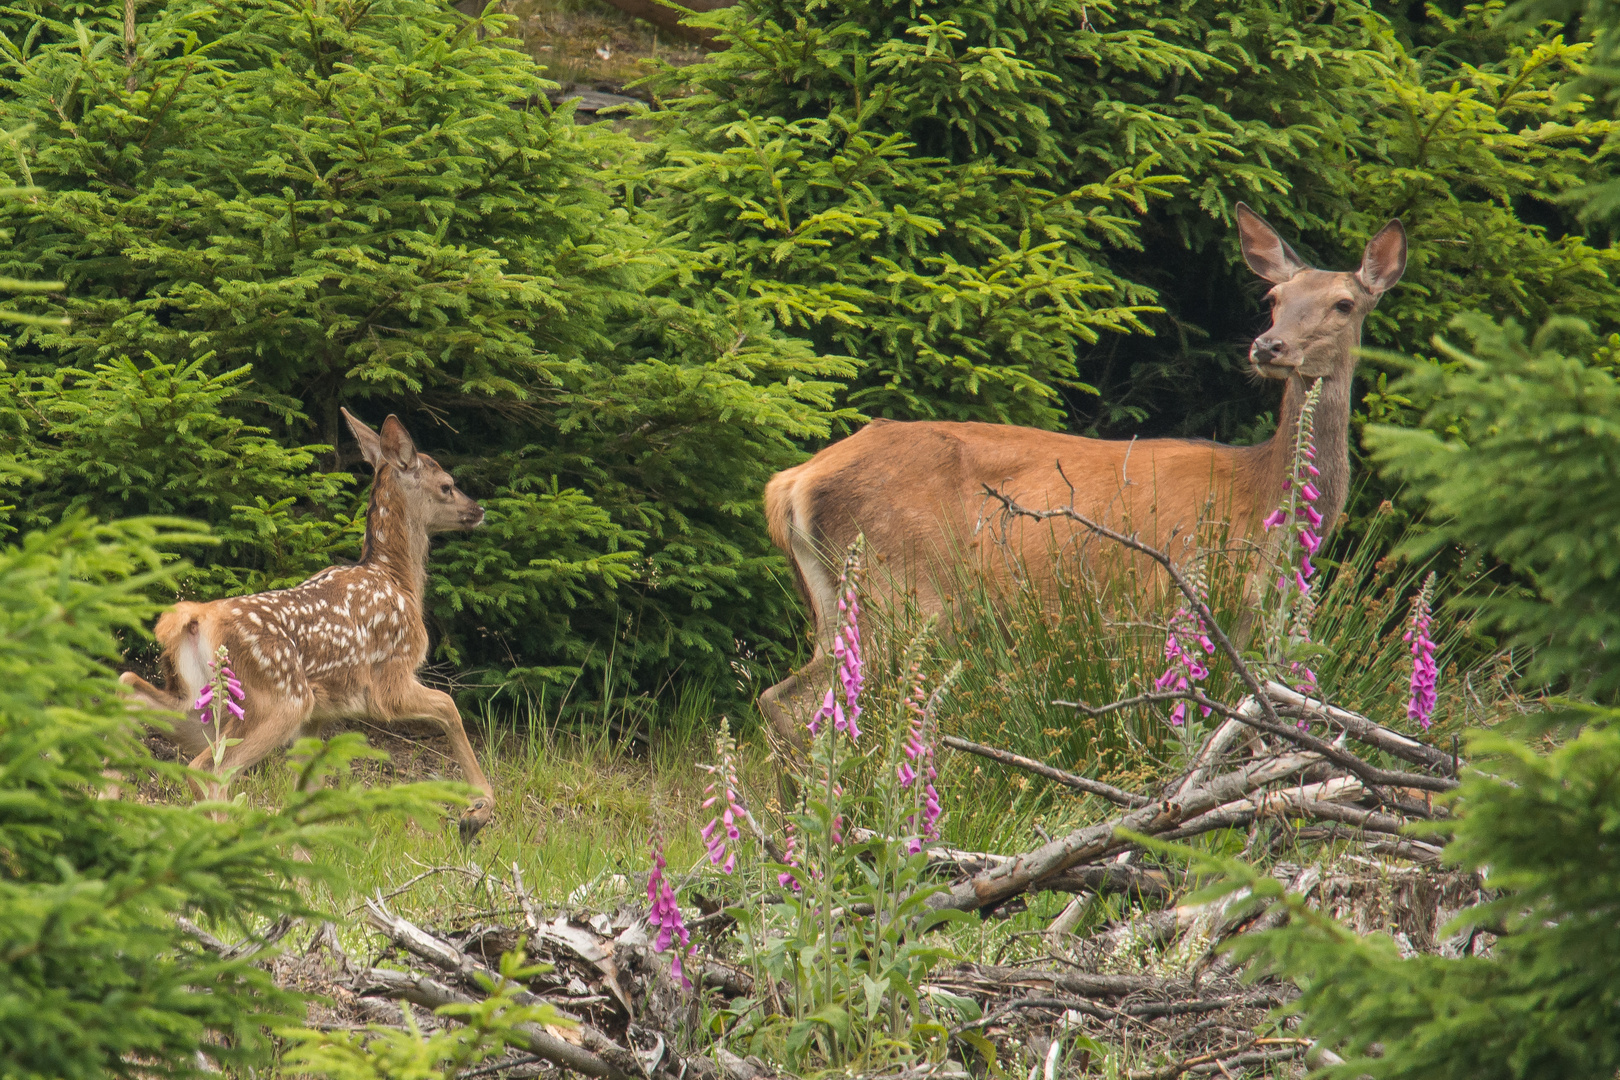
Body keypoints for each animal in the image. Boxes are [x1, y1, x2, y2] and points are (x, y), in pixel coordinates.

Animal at [122, 409, 492, 841]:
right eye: (447, 485)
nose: (478, 510)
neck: (398, 579)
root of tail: (195, 620)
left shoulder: (321, 717)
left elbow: (304, 800)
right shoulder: (390, 680)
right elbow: (450, 706)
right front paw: (476, 811)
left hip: (200, 703)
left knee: (130, 687)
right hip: (278, 698)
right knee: (208, 770)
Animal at [758, 204, 1406, 744]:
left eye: (1344, 304)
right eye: (1273, 297)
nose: (1268, 347)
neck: (1262, 495)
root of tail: (790, 482)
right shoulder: (1173, 592)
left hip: (837, 593)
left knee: (788, 696)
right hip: (907, 587)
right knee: (801, 699)